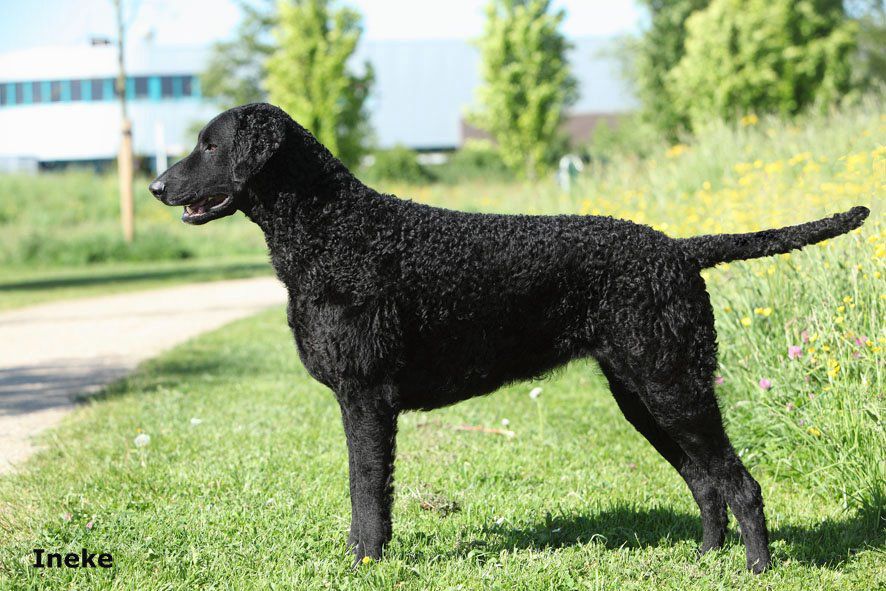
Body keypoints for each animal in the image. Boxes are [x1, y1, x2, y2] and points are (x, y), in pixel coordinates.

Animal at [149, 104, 872, 572]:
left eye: (209, 145)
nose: (156, 184)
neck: (333, 229)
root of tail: (679, 249)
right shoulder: (362, 400)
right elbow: (365, 492)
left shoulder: (365, 397)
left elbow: (366, 492)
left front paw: (365, 564)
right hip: (641, 390)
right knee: (704, 480)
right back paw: (705, 560)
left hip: (673, 383)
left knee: (738, 482)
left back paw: (755, 568)